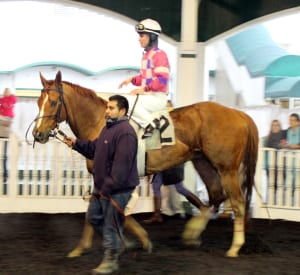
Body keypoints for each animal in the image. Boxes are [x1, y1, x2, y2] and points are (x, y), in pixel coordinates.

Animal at [32, 71, 258, 258]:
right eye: (38, 101)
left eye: (54, 102)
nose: (37, 134)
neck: (102, 123)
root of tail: (238, 114)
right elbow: (117, 210)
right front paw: (135, 240)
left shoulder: (105, 175)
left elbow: (102, 209)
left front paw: (82, 247)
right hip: (203, 162)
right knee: (216, 196)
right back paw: (192, 233)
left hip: (227, 169)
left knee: (237, 202)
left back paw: (235, 246)